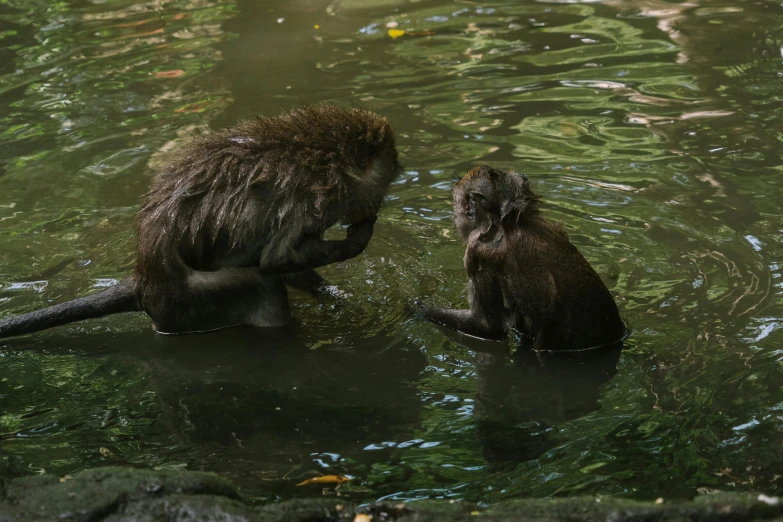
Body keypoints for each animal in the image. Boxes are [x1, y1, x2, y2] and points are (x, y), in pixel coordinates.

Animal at [0, 104, 402, 338]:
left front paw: (333, 294)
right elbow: (276, 259)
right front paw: (359, 237)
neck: (326, 155)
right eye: (384, 182)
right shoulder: (308, 201)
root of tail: (145, 283)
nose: (374, 206)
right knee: (262, 285)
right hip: (194, 300)